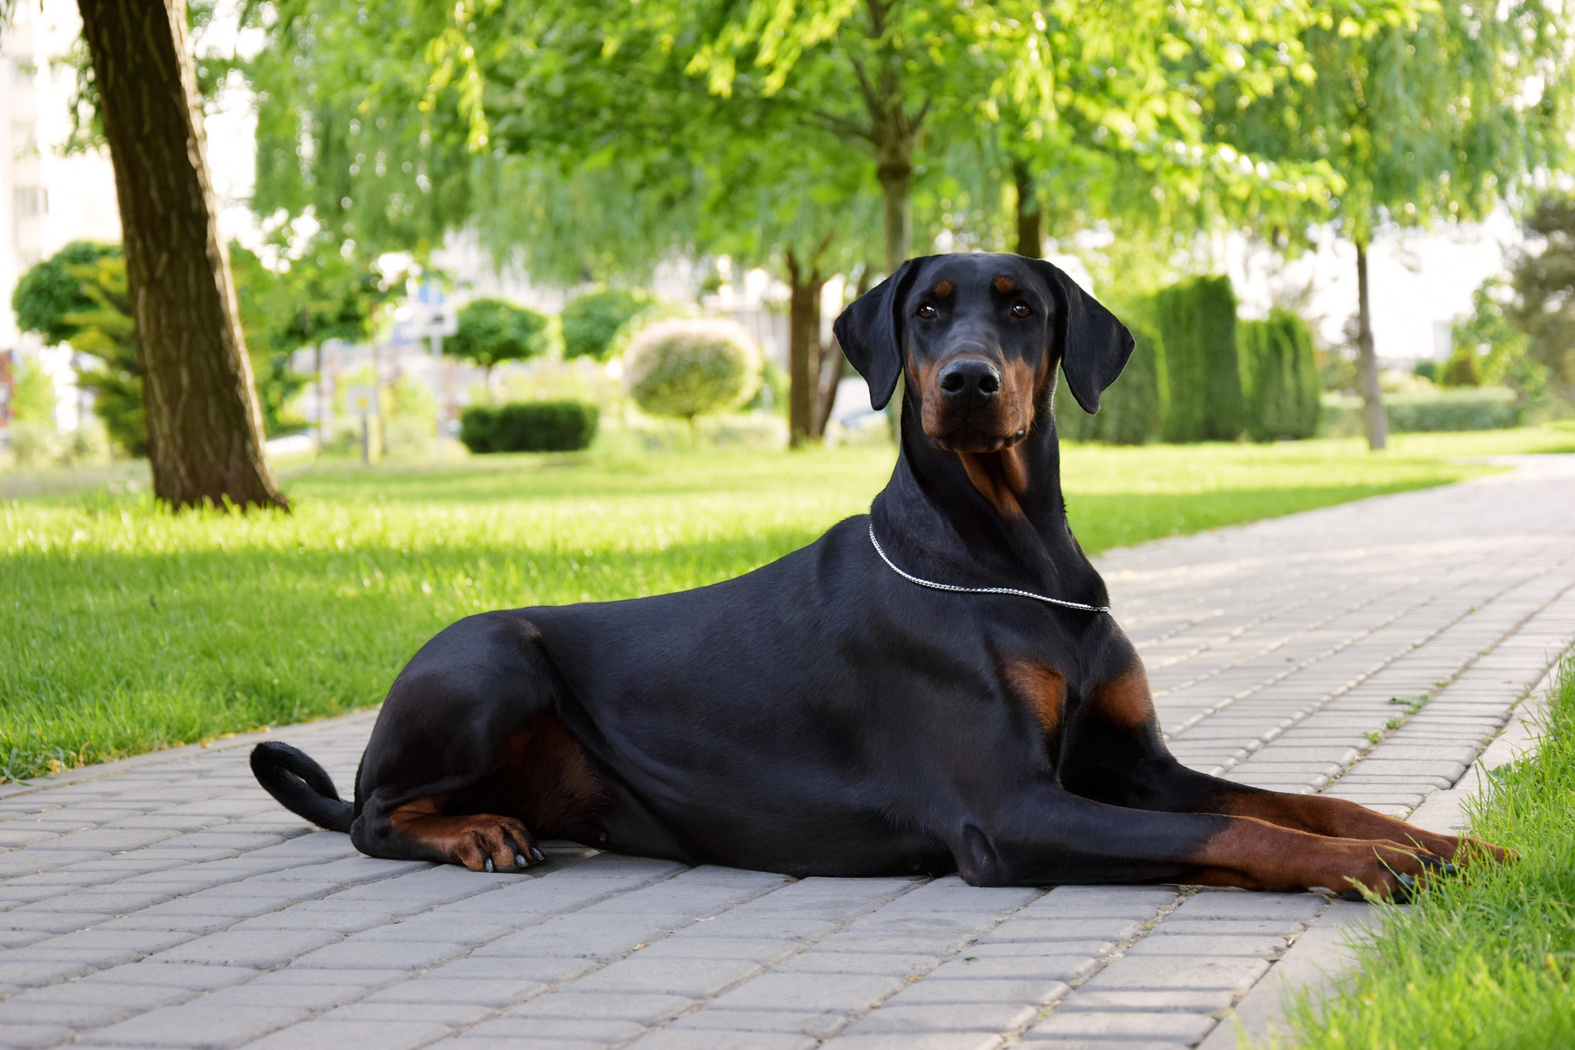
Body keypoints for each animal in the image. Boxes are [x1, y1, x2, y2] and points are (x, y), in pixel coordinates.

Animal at [252, 251, 1505, 894]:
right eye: (928, 309)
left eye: (1022, 306)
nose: (964, 383)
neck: (1011, 559)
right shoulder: (1007, 812)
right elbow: (1249, 835)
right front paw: (1372, 867)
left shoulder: (1134, 766)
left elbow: (1306, 802)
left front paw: (1443, 842)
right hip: (489, 654)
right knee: (370, 815)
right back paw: (467, 832)